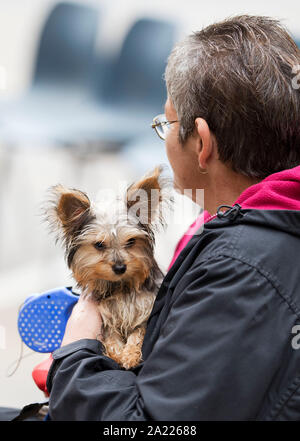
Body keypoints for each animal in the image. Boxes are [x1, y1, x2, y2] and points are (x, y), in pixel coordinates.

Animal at [43, 165, 172, 368]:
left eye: (131, 241)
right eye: (99, 245)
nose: (120, 268)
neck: (121, 287)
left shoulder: (145, 309)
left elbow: (137, 332)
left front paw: (130, 355)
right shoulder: (105, 319)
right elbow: (110, 338)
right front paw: (118, 355)